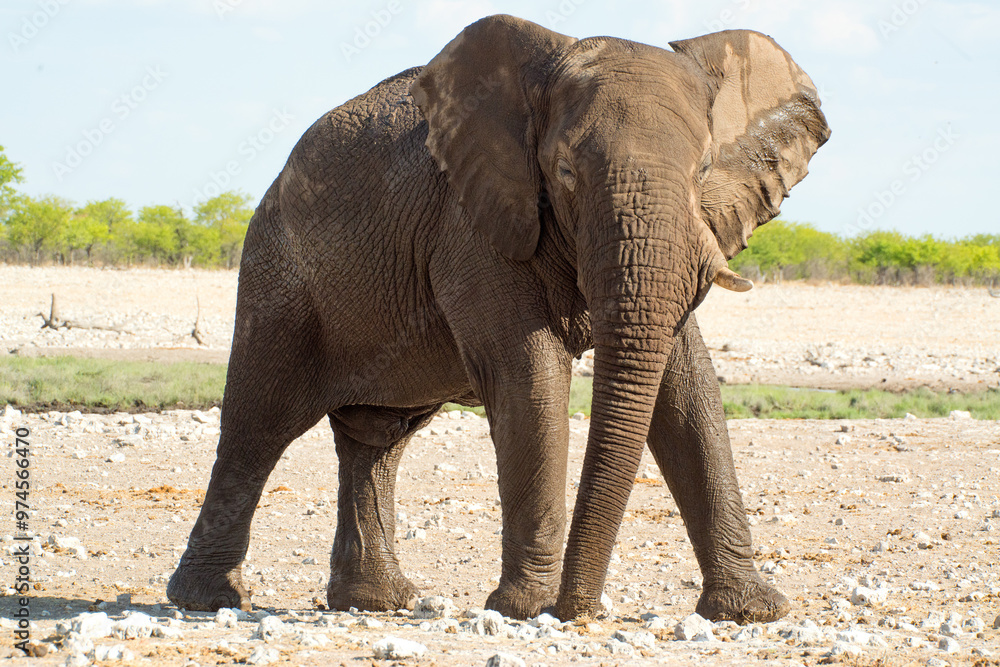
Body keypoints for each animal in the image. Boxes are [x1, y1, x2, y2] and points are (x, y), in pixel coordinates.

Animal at [167, 15, 829, 622]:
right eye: (564, 173)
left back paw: (376, 603)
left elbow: (688, 390)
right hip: (278, 277)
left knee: (376, 439)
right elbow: (529, 378)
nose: (580, 611)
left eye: (702, 173)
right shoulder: (472, 225)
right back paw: (208, 601)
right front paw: (528, 609)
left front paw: (754, 612)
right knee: (259, 423)